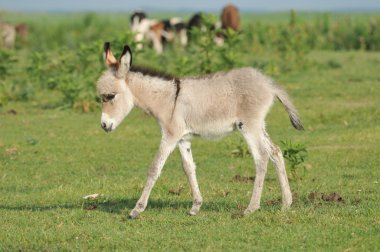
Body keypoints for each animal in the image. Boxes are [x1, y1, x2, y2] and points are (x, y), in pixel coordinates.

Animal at [97, 42, 302, 219]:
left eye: (110, 96)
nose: (104, 125)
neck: (167, 99)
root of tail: (268, 83)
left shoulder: (170, 135)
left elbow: (155, 168)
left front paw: (136, 209)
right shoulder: (182, 138)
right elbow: (188, 168)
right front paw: (195, 206)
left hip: (249, 126)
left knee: (261, 157)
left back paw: (251, 208)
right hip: (259, 125)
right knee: (275, 151)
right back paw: (286, 203)